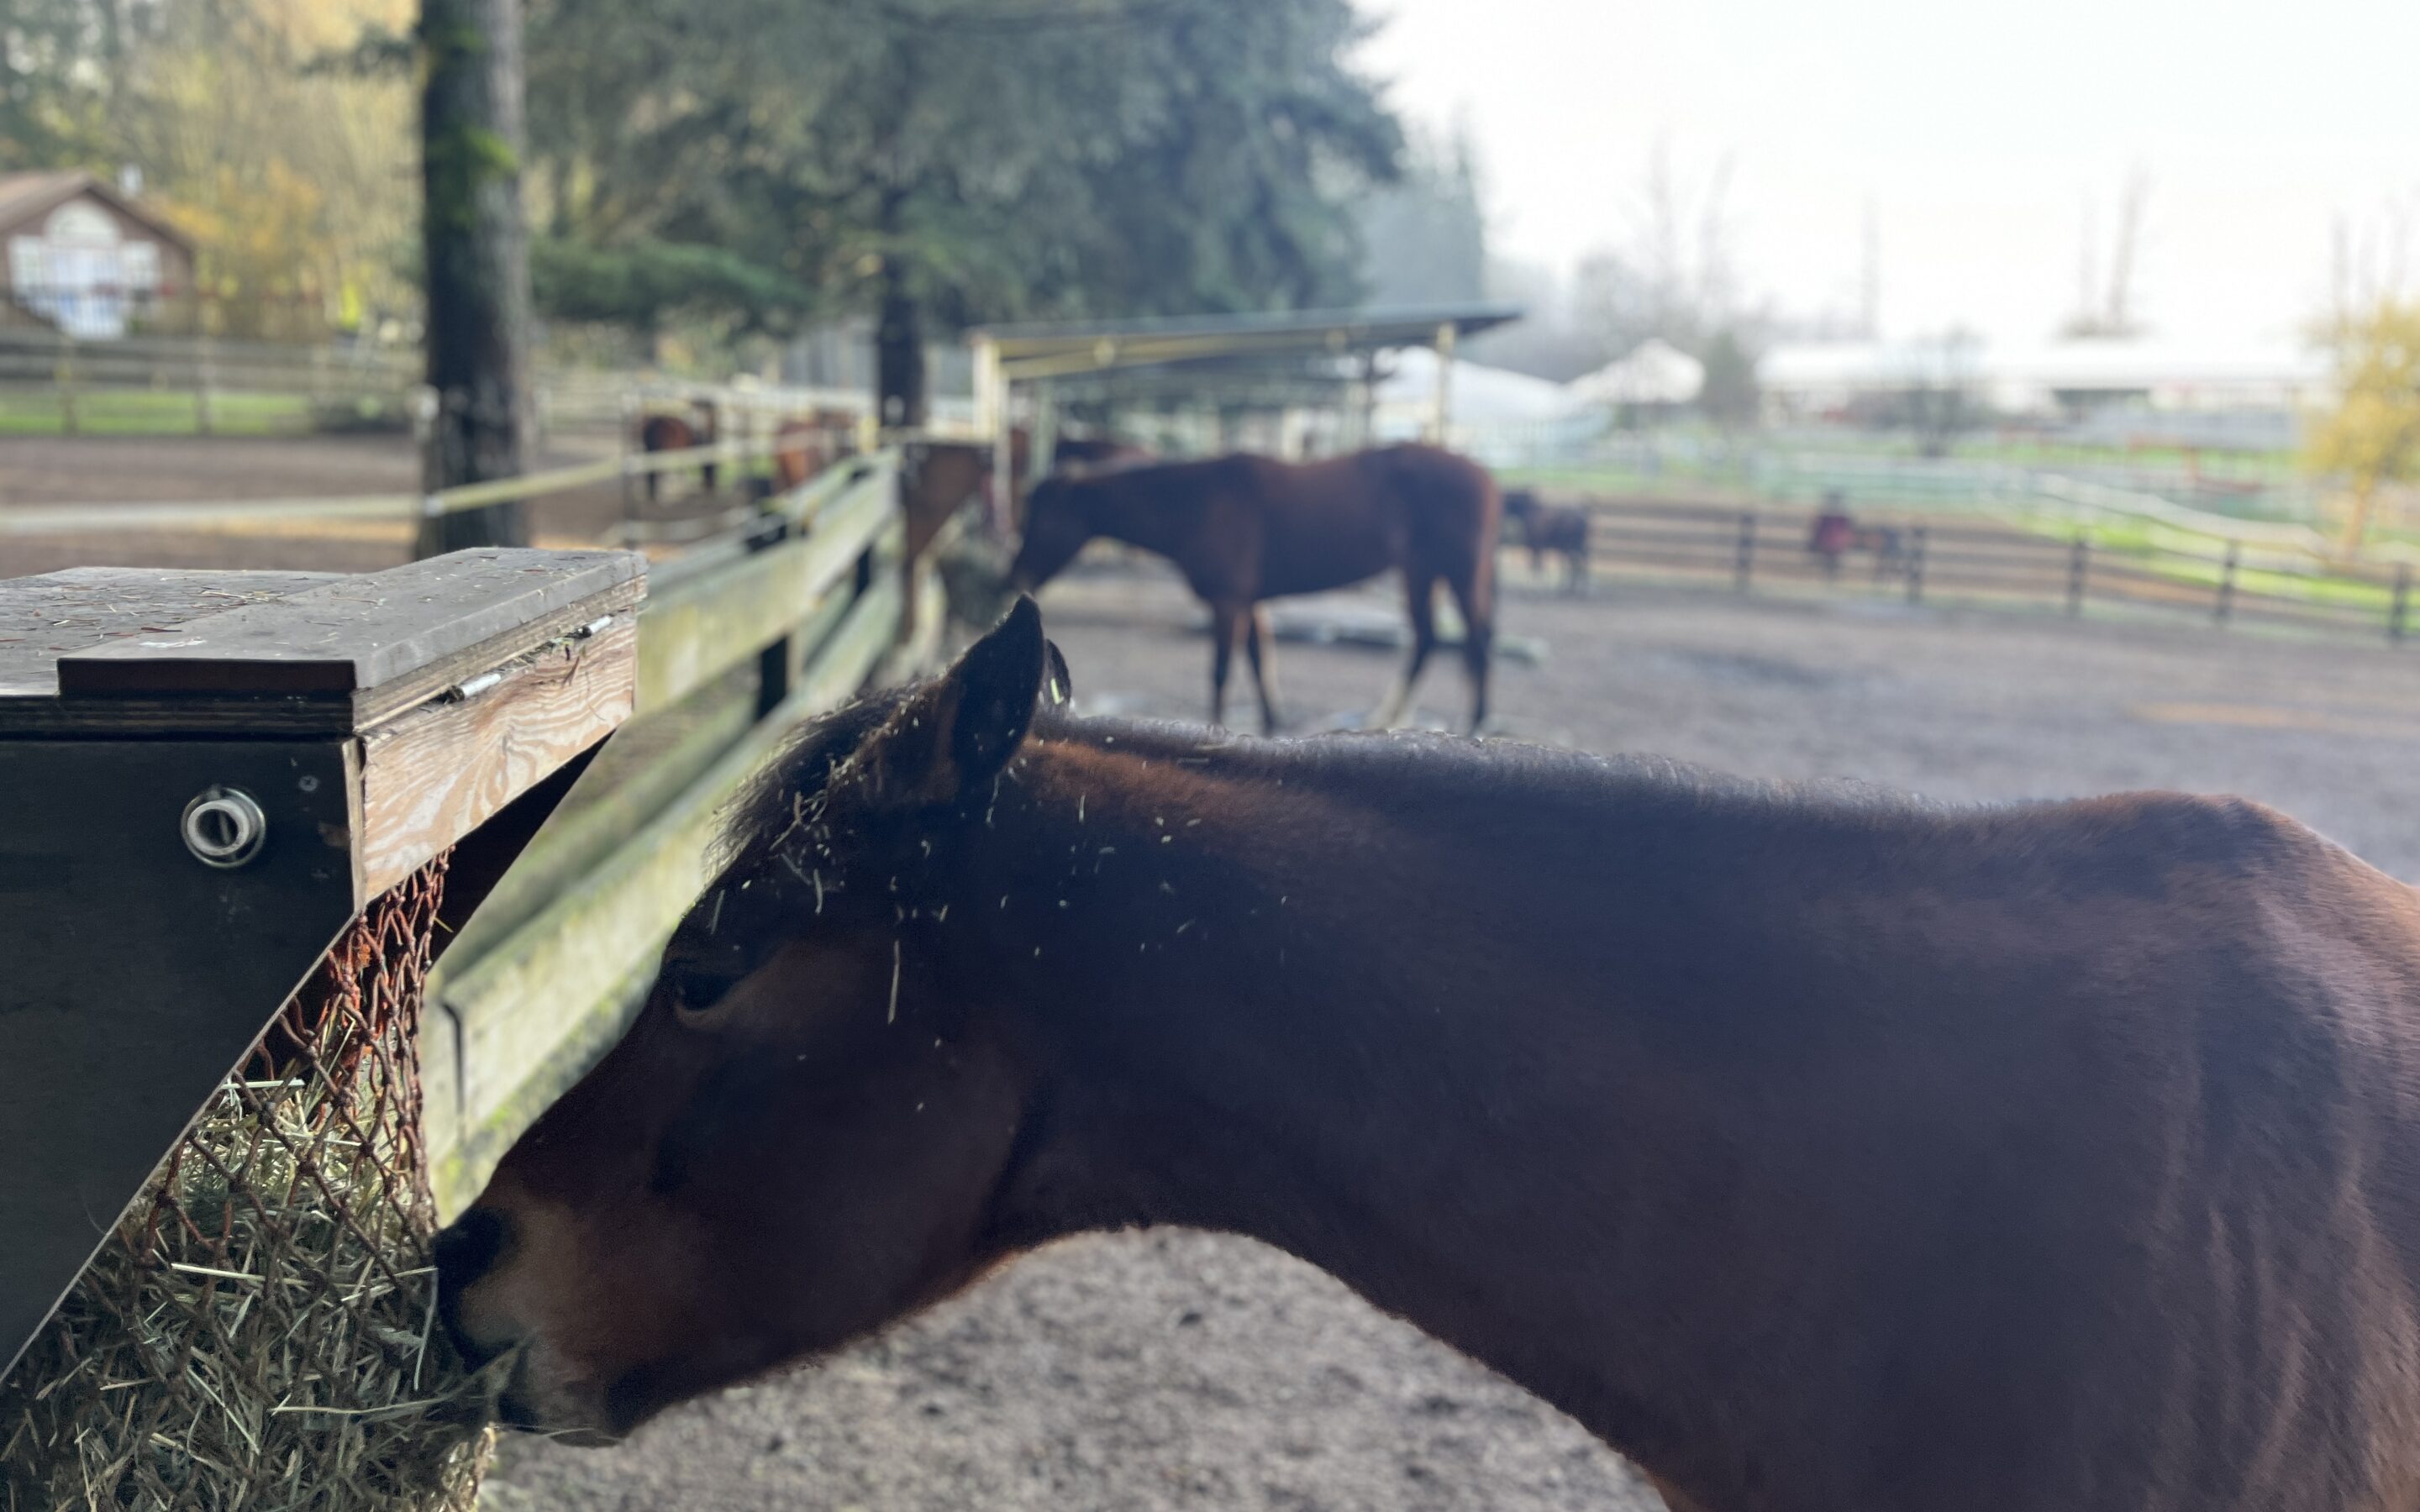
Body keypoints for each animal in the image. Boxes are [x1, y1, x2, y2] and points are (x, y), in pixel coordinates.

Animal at [1002, 443, 1491, 730]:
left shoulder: (1229, 602)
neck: (1199, 502)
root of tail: (1481, 474)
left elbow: (1221, 673)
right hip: (1420, 571)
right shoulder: (1249, 604)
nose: (1014, 579)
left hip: (1458, 572)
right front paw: (1272, 727)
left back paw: (1473, 724)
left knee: (1476, 640)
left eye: (1044, 518)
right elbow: (1258, 664)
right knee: (1428, 640)